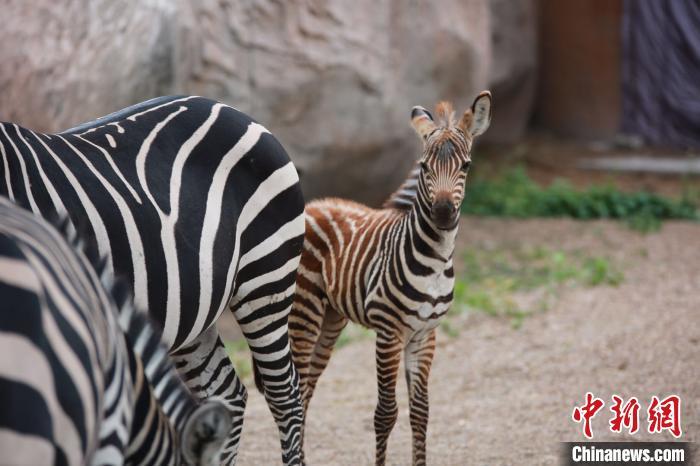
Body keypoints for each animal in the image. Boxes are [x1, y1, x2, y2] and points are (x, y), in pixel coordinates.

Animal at [288, 90, 492, 462]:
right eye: (424, 166)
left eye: (466, 166)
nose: (443, 213)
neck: (435, 261)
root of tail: (313, 205)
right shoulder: (389, 331)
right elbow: (385, 413)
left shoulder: (425, 334)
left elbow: (421, 411)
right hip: (304, 308)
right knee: (292, 393)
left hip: (331, 317)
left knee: (307, 389)